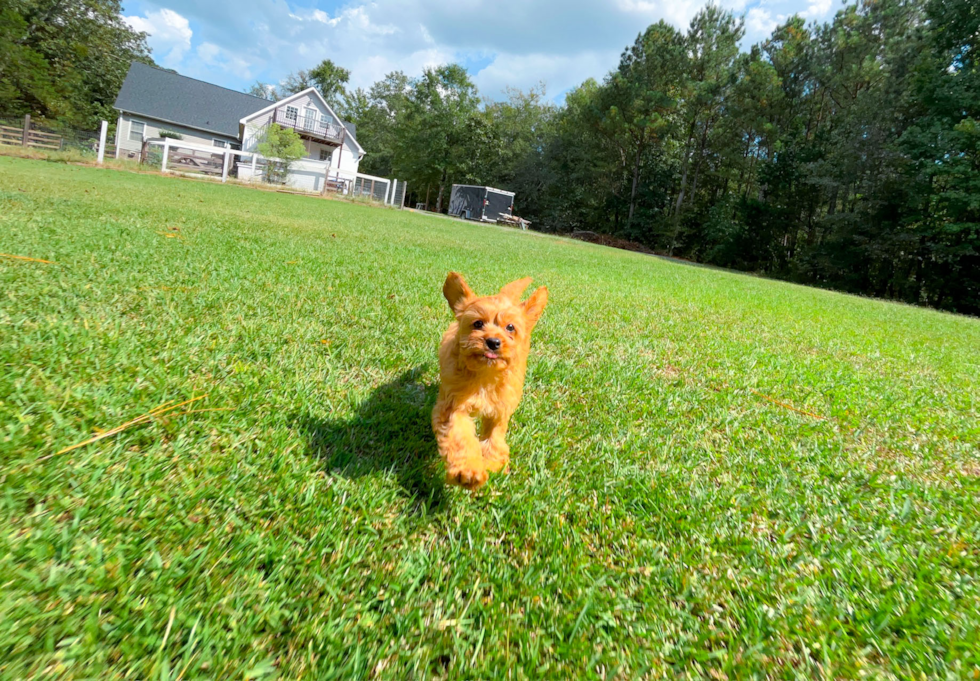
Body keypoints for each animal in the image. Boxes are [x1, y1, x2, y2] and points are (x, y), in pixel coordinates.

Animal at [436, 270, 552, 488]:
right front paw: (468, 472)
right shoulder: (455, 406)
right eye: (478, 323)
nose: (493, 342)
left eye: (510, 327)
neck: (485, 375)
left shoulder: (500, 409)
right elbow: (460, 436)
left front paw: (491, 463)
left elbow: (494, 437)